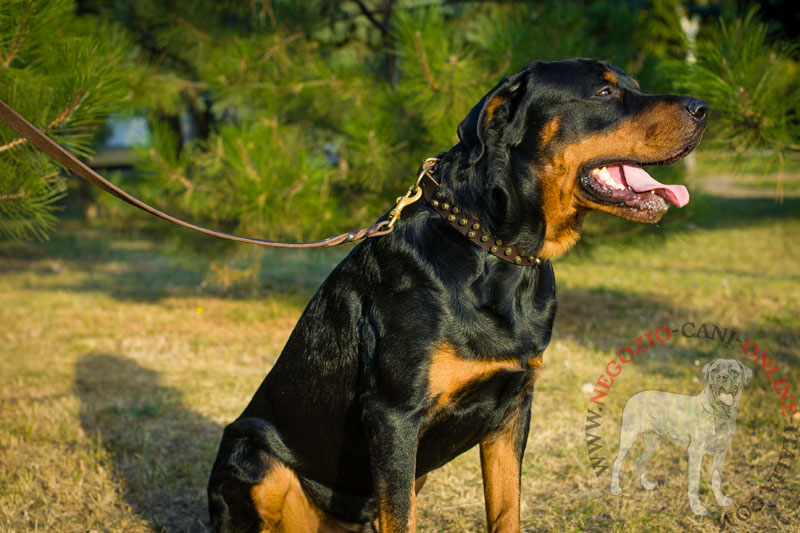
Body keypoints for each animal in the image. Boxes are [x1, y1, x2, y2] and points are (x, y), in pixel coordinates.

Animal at [206, 59, 708, 532]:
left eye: (635, 86)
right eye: (604, 92)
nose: (703, 107)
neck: (495, 250)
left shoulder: (513, 409)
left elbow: (506, 510)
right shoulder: (393, 417)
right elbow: (402, 519)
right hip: (252, 457)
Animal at [608, 358, 752, 516]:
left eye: (733, 371)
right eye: (715, 370)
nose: (722, 377)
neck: (719, 412)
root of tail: (633, 396)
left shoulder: (720, 452)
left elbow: (716, 478)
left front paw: (720, 500)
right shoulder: (696, 452)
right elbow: (694, 483)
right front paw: (697, 508)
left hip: (652, 442)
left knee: (640, 461)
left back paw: (646, 484)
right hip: (628, 438)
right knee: (617, 462)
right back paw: (615, 489)